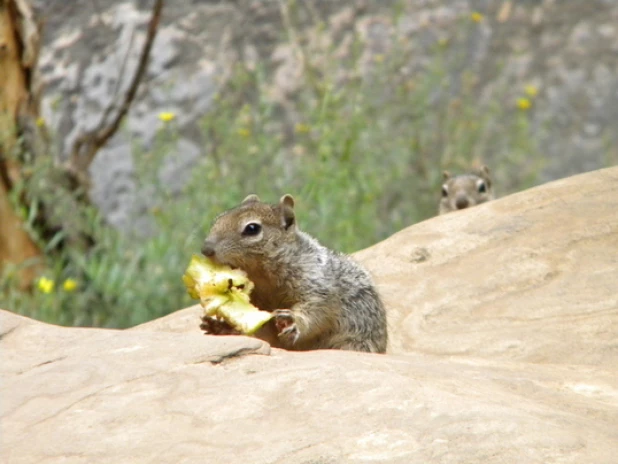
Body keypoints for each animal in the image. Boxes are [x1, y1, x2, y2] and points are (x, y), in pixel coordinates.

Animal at [200, 194, 388, 354]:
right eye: (218, 219)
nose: (206, 249)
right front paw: (224, 328)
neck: (262, 276)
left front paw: (293, 322)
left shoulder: (317, 286)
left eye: (252, 228)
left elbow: (316, 311)